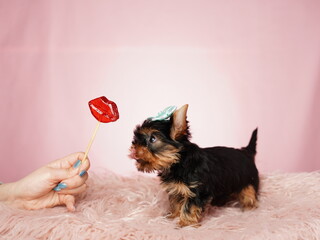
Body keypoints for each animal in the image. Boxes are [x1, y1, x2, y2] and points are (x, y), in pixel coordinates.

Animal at [129, 105, 258, 227]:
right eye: (136, 139)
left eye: (152, 139)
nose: (134, 149)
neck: (178, 162)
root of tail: (245, 152)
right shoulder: (176, 188)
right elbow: (176, 202)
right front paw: (173, 215)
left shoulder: (196, 190)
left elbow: (189, 207)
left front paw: (186, 223)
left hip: (248, 179)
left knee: (249, 192)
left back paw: (249, 207)